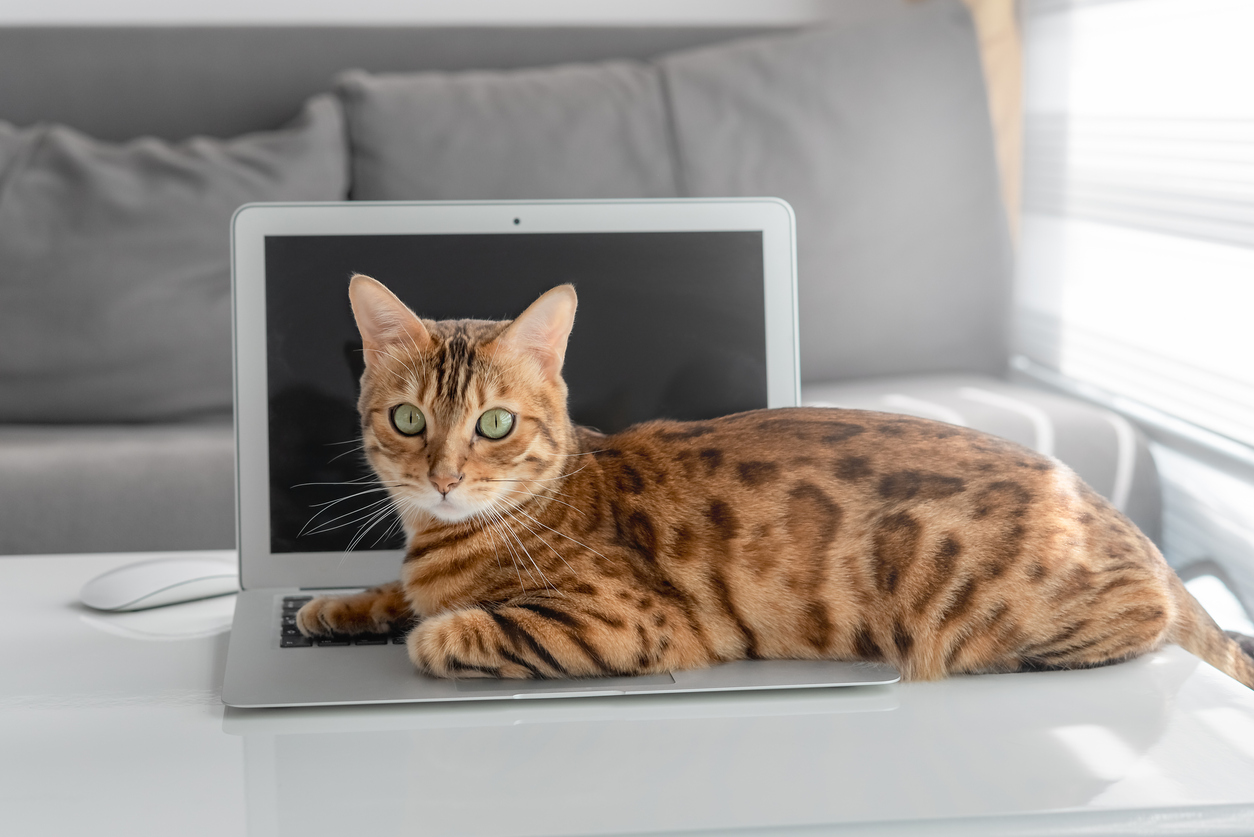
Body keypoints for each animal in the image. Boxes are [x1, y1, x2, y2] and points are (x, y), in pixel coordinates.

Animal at [298, 274, 1254, 687]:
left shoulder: (627, 623)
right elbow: (392, 592)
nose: (445, 477)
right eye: (408, 420)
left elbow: (452, 626)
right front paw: (337, 604)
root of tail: (1116, 516)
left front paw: (431, 626)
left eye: (494, 424)